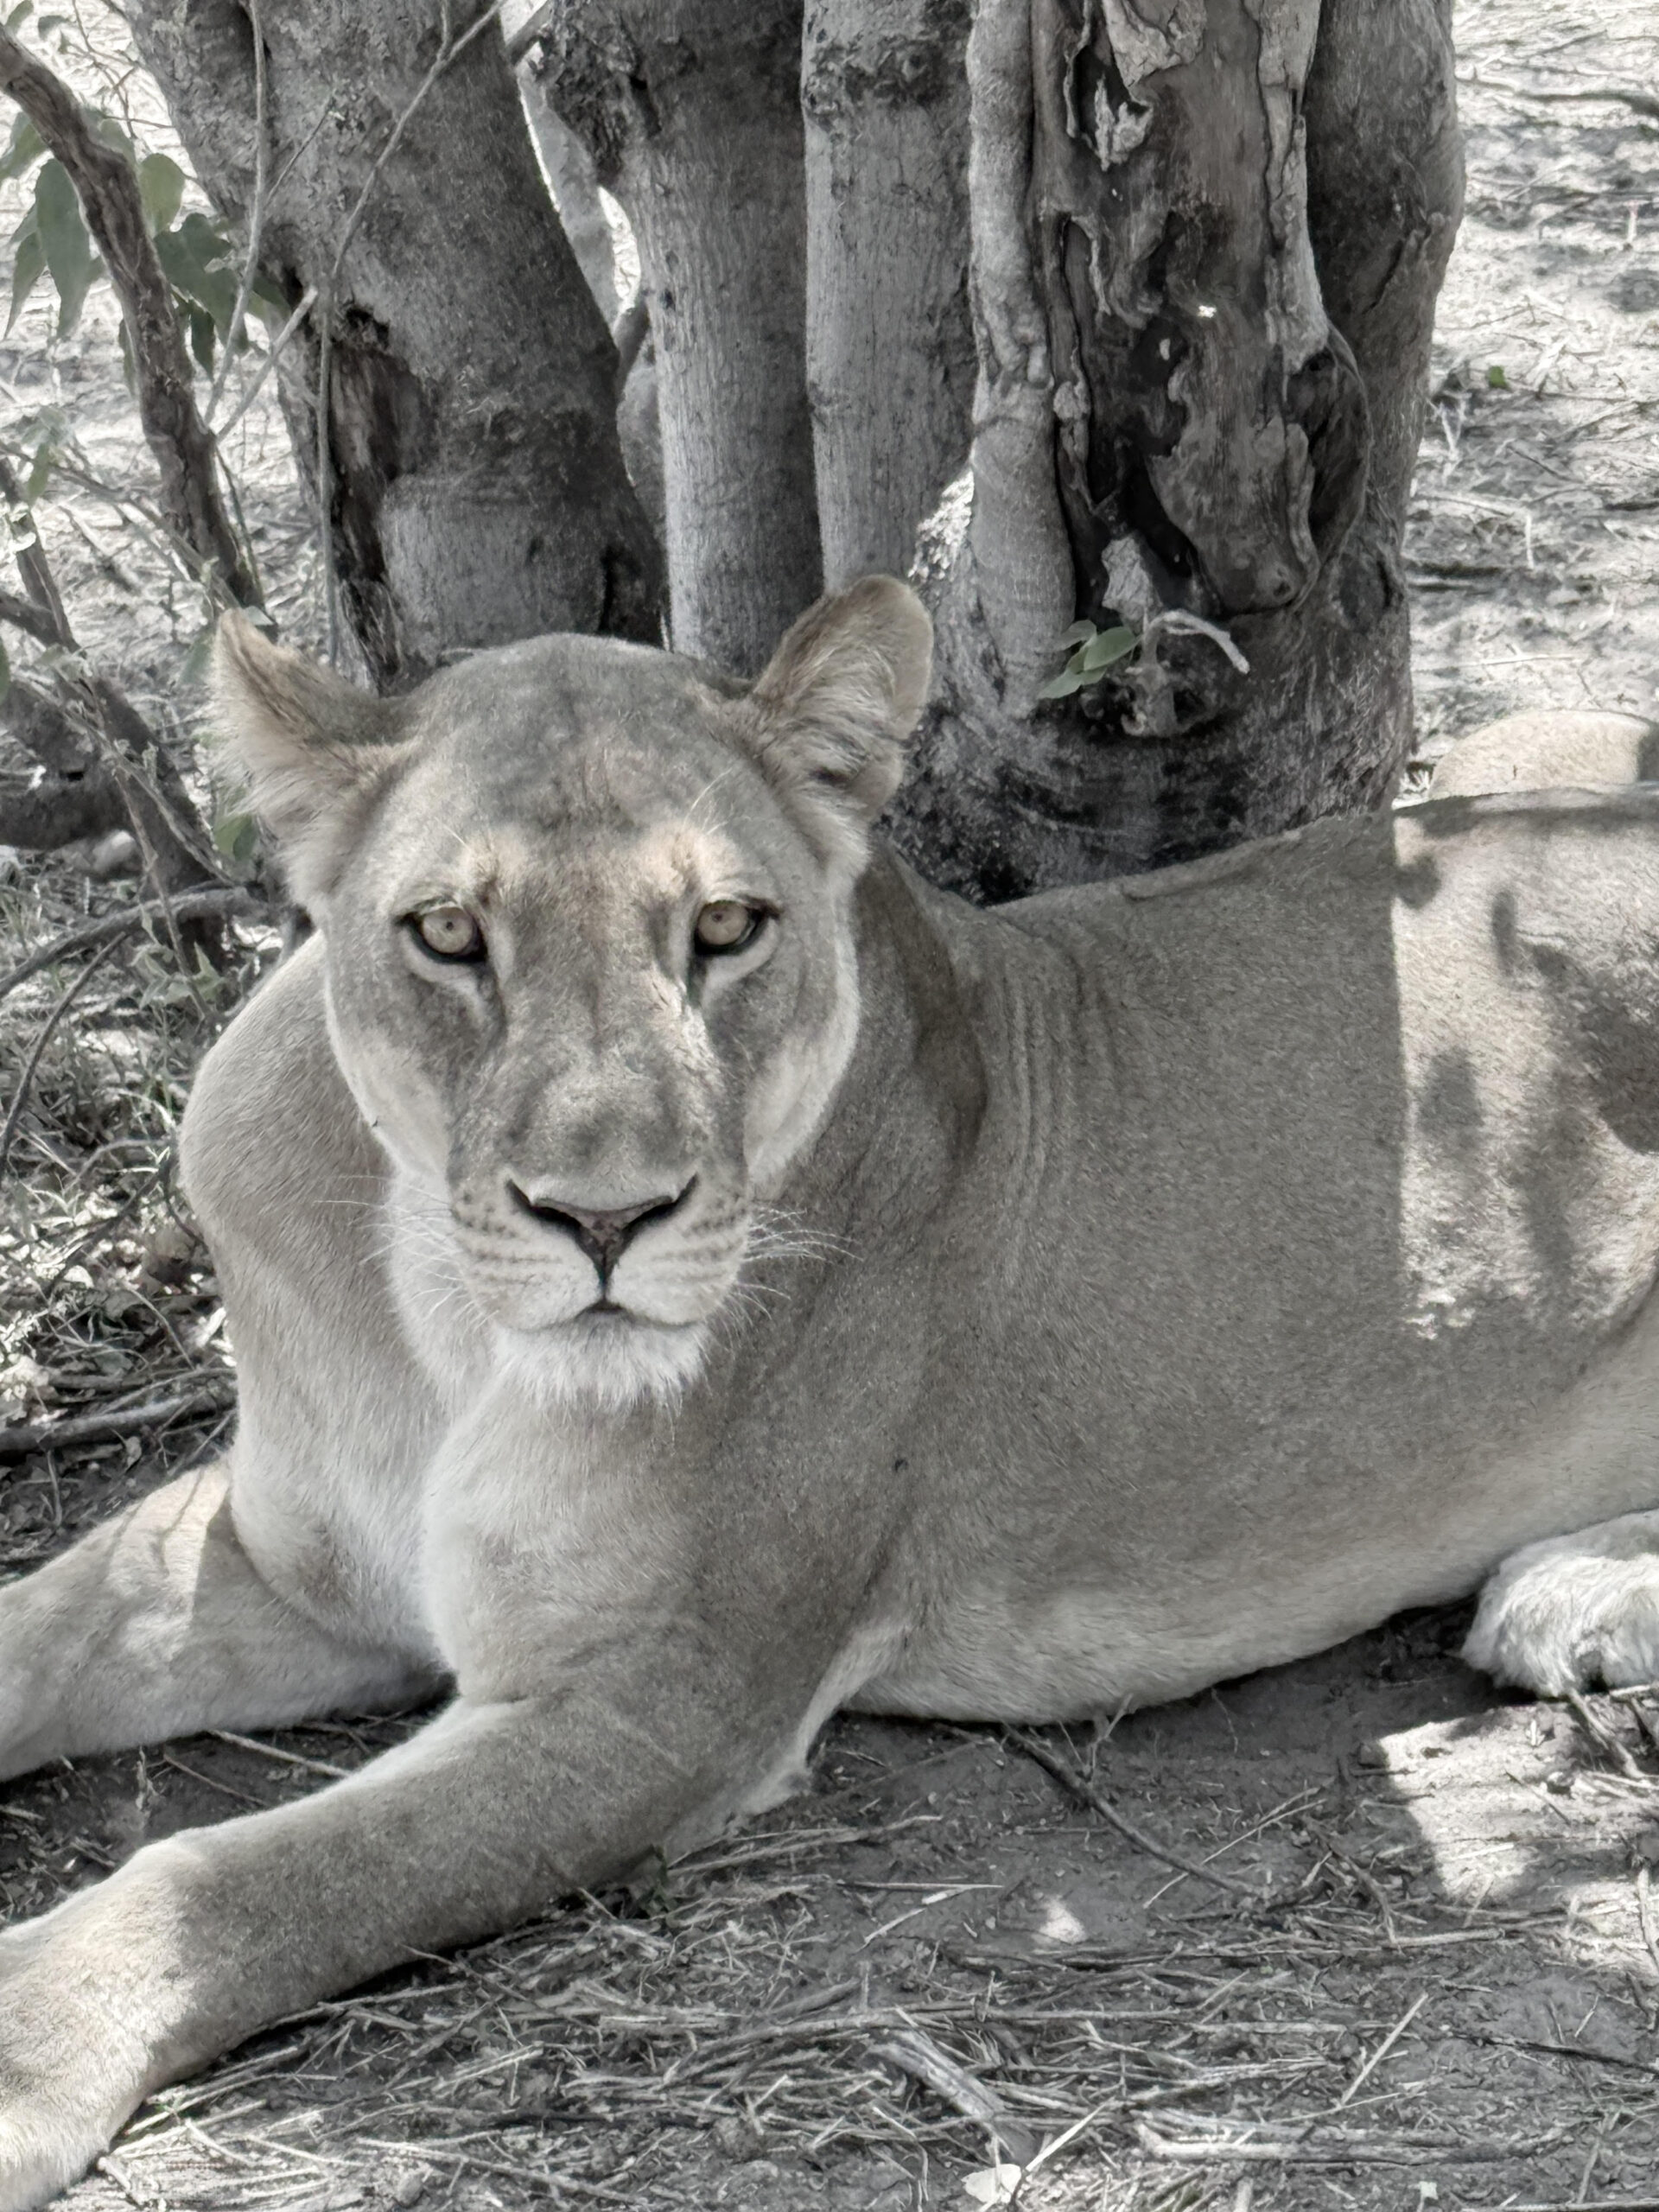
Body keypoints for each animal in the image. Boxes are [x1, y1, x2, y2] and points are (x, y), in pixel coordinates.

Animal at [5, 578, 1659, 2203]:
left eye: (728, 927)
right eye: (451, 933)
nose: (607, 1218)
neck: (446, 1321)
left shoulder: (669, 1698)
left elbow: (248, 1881)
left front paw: (24, 2056)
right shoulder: (282, 1559)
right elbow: (39, 1637)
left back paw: (1572, 1597)